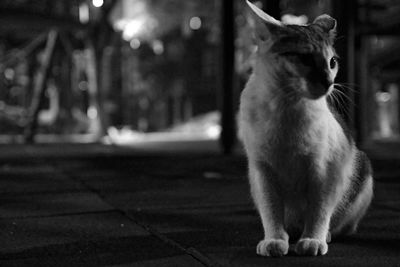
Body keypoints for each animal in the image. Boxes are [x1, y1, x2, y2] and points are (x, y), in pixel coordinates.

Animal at [239, 1, 374, 258]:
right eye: (305, 59)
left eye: (332, 62)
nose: (329, 82)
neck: (286, 107)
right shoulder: (261, 169)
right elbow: (271, 209)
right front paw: (274, 239)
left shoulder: (324, 169)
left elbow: (319, 210)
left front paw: (313, 239)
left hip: (362, 169)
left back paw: (324, 234)